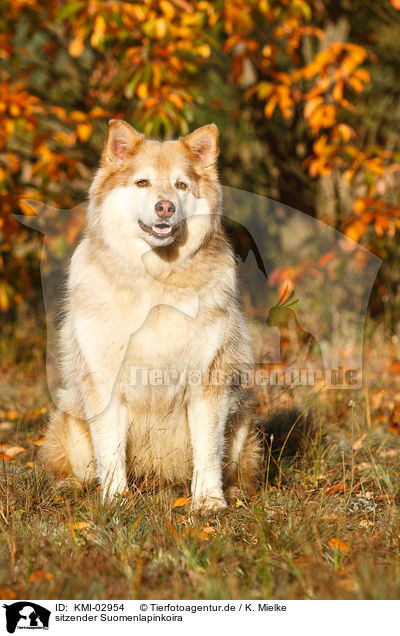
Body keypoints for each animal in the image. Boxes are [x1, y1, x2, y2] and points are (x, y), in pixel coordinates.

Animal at [39, 120, 260, 512]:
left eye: (181, 185)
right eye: (142, 182)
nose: (165, 207)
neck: (156, 277)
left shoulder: (209, 380)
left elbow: (207, 449)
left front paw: (208, 502)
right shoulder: (104, 382)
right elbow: (110, 450)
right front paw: (115, 500)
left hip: (243, 417)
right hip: (70, 417)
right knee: (73, 468)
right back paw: (71, 488)